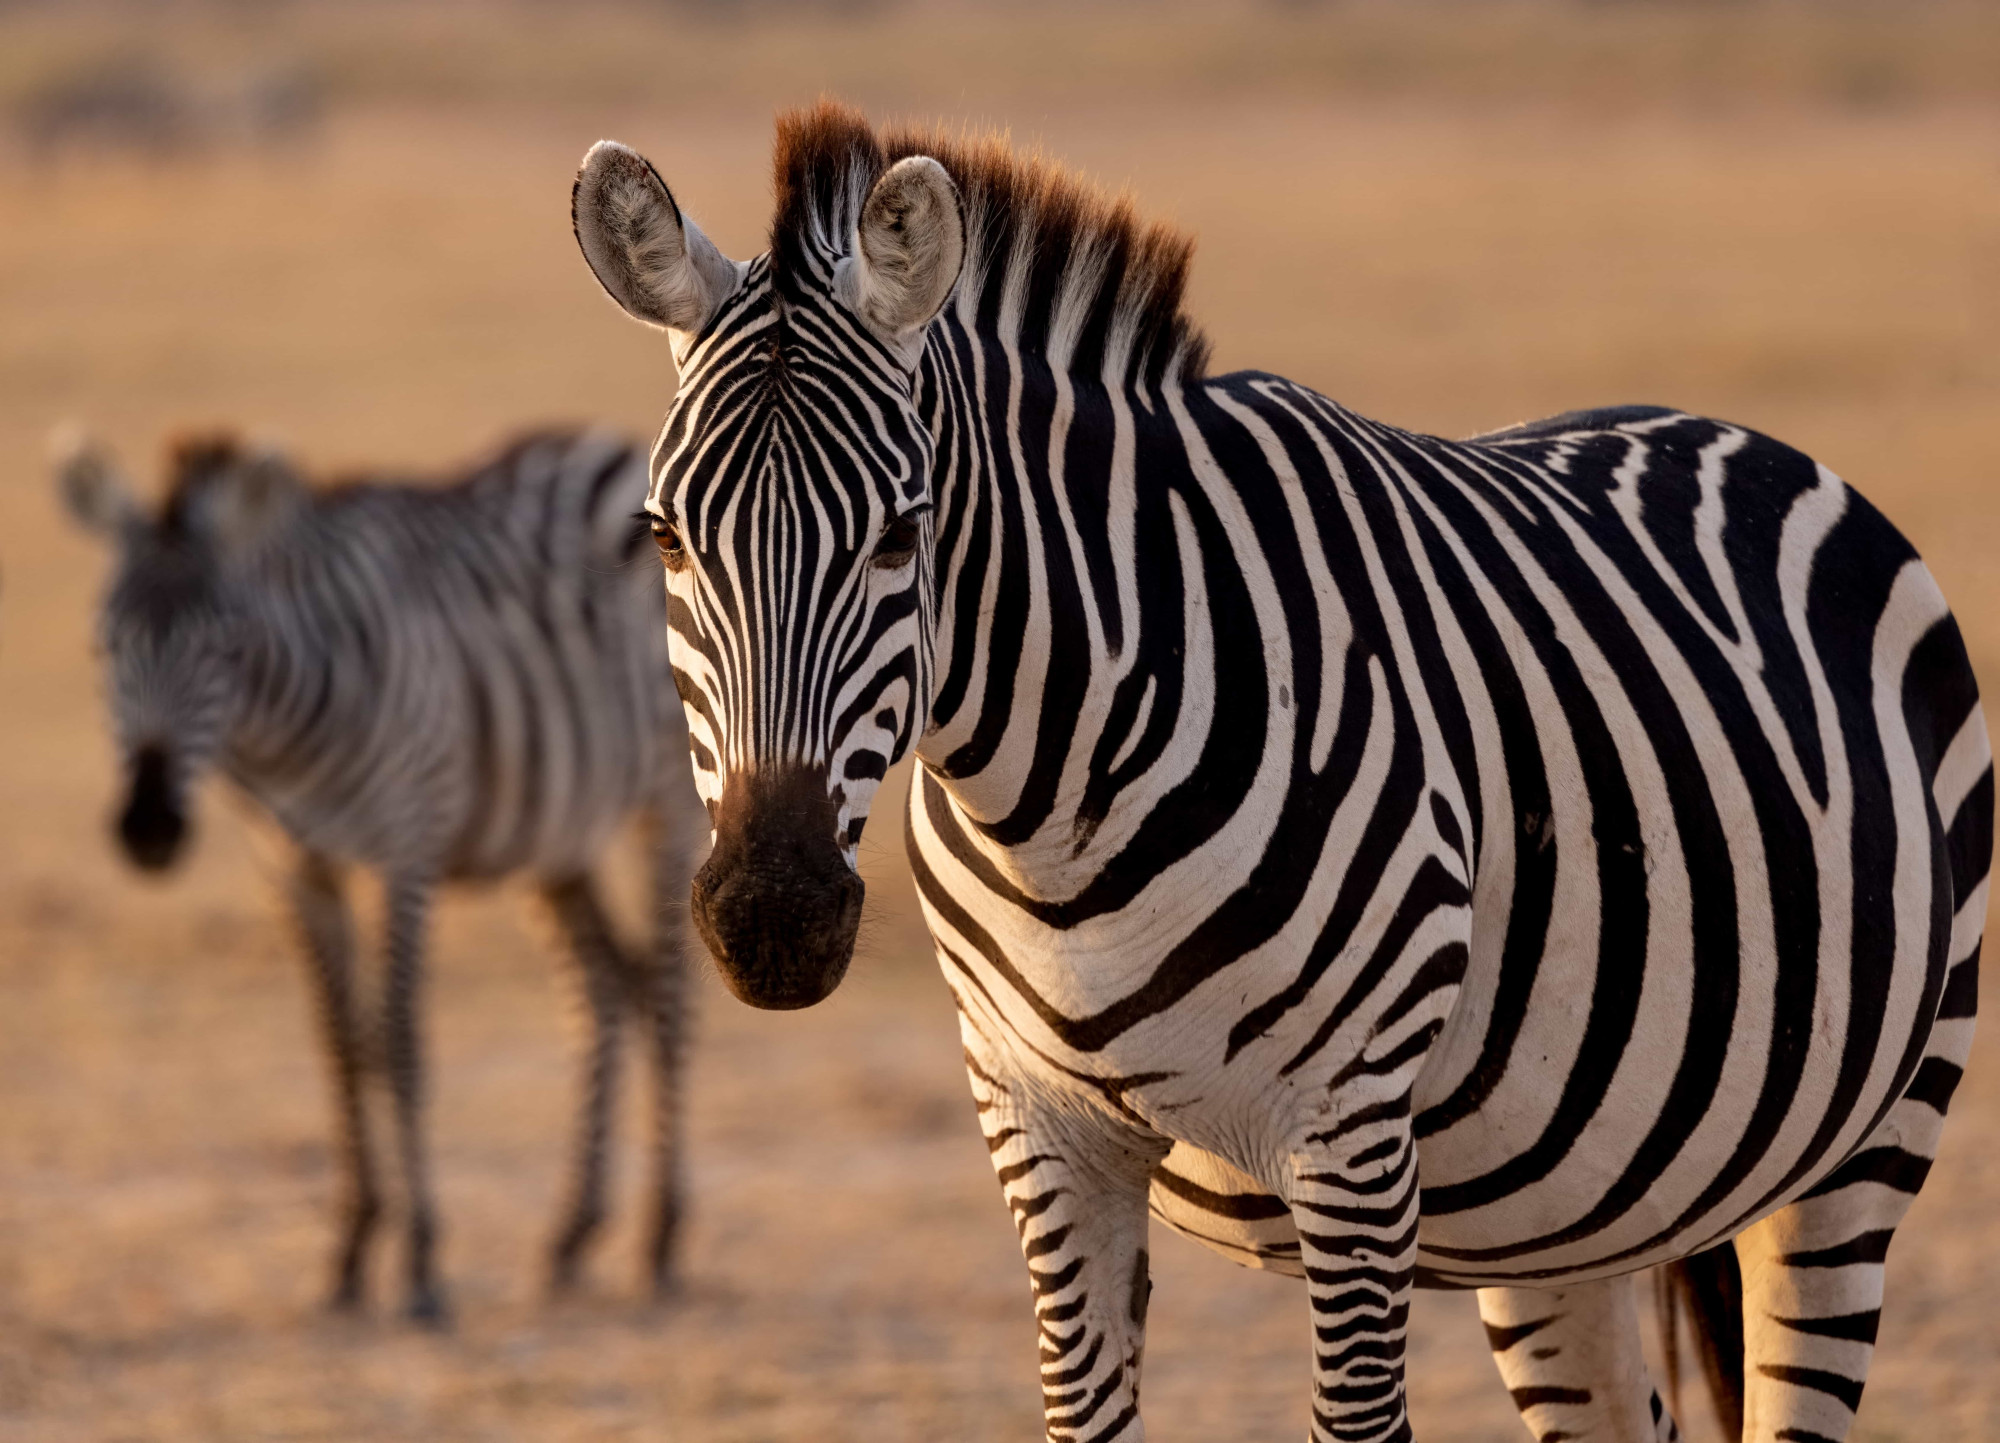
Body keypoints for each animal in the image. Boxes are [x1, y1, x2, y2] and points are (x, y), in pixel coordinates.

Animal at [58, 426, 702, 1324]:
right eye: (104, 646)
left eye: (224, 646)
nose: (149, 828)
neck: (281, 739)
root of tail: (616, 443)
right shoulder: (294, 867)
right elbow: (338, 1041)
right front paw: (352, 1250)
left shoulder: (403, 851)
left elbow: (396, 1038)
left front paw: (423, 1260)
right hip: (554, 827)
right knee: (606, 986)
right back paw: (573, 1234)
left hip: (667, 796)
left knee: (669, 997)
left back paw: (661, 1238)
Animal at [569, 102, 1987, 1441]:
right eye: (664, 537)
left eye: (901, 536)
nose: (771, 919)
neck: (1054, 804)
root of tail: (1723, 428)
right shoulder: (1041, 1132)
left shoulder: (1349, 1138)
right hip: (1566, 1213)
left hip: (1867, 1143)